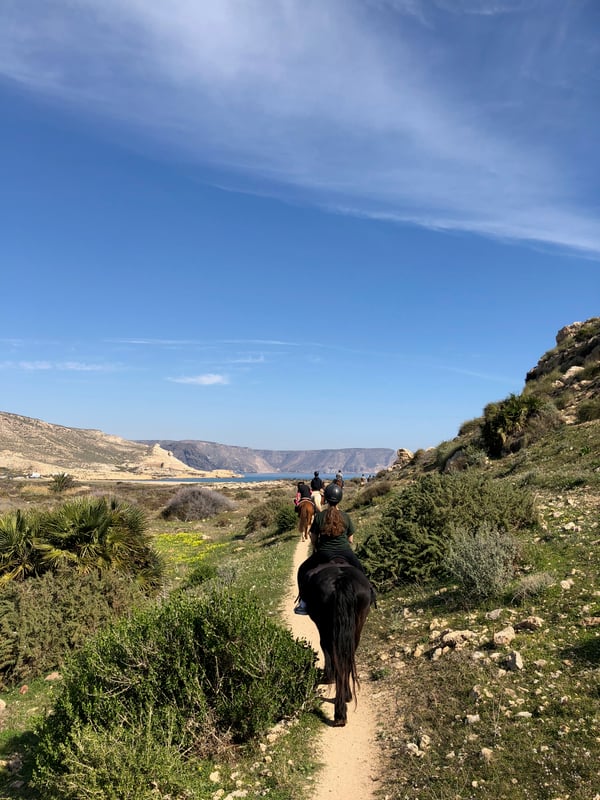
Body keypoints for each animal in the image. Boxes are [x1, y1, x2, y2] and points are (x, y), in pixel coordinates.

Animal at [302, 560, 372, 728]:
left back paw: (340, 711)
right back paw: (344, 703)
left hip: (326, 624)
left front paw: (328, 676)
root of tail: (341, 580)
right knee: (346, 658)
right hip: (356, 626)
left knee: (334, 653)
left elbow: (325, 648)